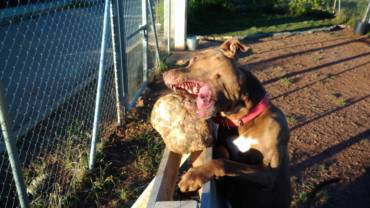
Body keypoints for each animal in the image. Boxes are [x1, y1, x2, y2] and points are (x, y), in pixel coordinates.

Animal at [163, 39, 290, 208]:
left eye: (194, 59)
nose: (164, 74)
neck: (243, 120)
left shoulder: (268, 174)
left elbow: (224, 163)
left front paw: (193, 176)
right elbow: (223, 153)